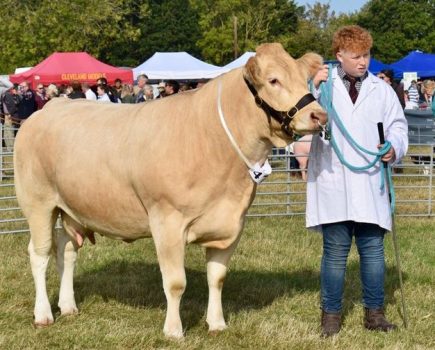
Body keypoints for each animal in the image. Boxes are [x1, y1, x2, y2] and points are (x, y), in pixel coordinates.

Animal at [14, 42, 328, 338]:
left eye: (305, 78)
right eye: (274, 80)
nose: (319, 116)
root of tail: (50, 108)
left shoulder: (232, 224)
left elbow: (217, 278)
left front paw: (217, 324)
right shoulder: (167, 221)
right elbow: (176, 283)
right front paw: (174, 330)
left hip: (72, 208)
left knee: (66, 250)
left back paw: (68, 306)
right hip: (38, 203)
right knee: (40, 253)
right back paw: (43, 314)